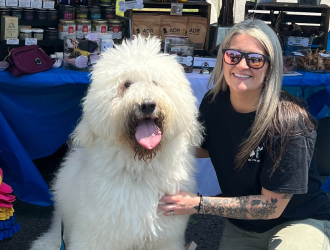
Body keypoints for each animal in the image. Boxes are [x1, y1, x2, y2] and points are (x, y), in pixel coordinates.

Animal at [29, 35, 202, 250]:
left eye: (155, 82)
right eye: (126, 85)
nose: (147, 104)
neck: (139, 167)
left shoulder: (164, 237)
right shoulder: (97, 236)